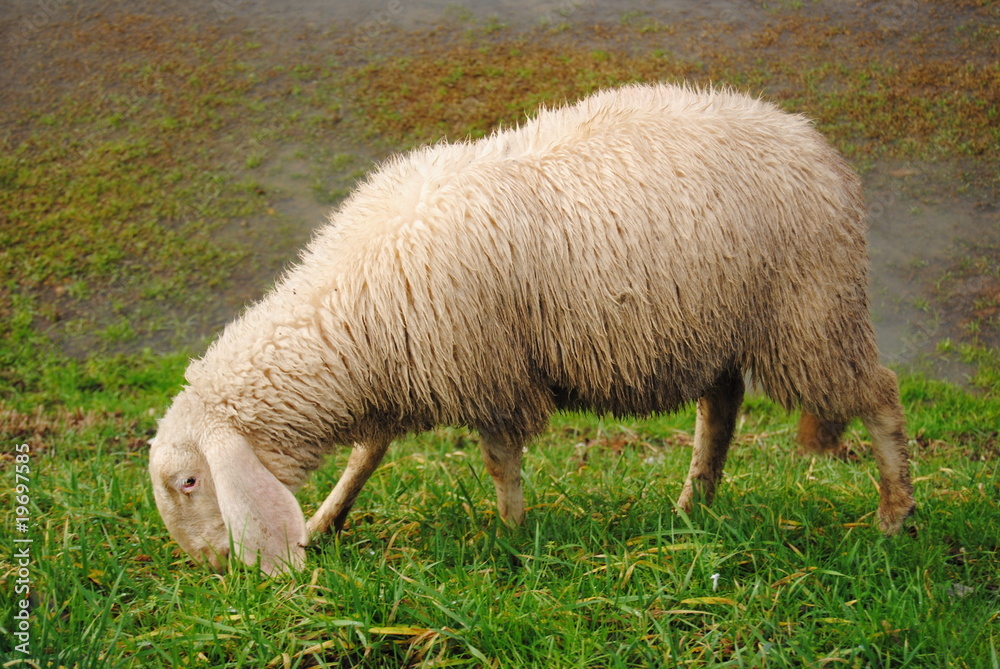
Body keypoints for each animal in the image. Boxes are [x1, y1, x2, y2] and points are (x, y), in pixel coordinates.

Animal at [149, 82, 915, 575]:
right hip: (720, 326)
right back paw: (693, 504)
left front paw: (513, 537)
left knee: (879, 396)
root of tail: (816, 143)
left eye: (188, 481)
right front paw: (323, 521)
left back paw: (894, 515)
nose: (212, 566)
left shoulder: (488, 370)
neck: (343, 312)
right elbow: (366, 456)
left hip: (813, 315)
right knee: (721, 411)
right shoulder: (403, 370)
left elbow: (498, 461)